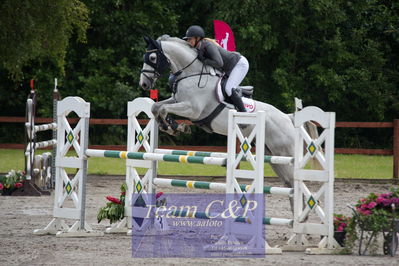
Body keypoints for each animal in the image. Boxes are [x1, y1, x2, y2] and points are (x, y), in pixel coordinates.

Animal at [139, 35, 318, 210]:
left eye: (153, 58)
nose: (144, 84)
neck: (192, 74)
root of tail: (288, 118)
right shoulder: (177, 100)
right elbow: (156, 107)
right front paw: (170, 125)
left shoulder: (192, 109)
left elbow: (164, 109)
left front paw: (175, 127)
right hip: (274, 156)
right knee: (289, 183)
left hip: (285, 153)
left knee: (296, 180)